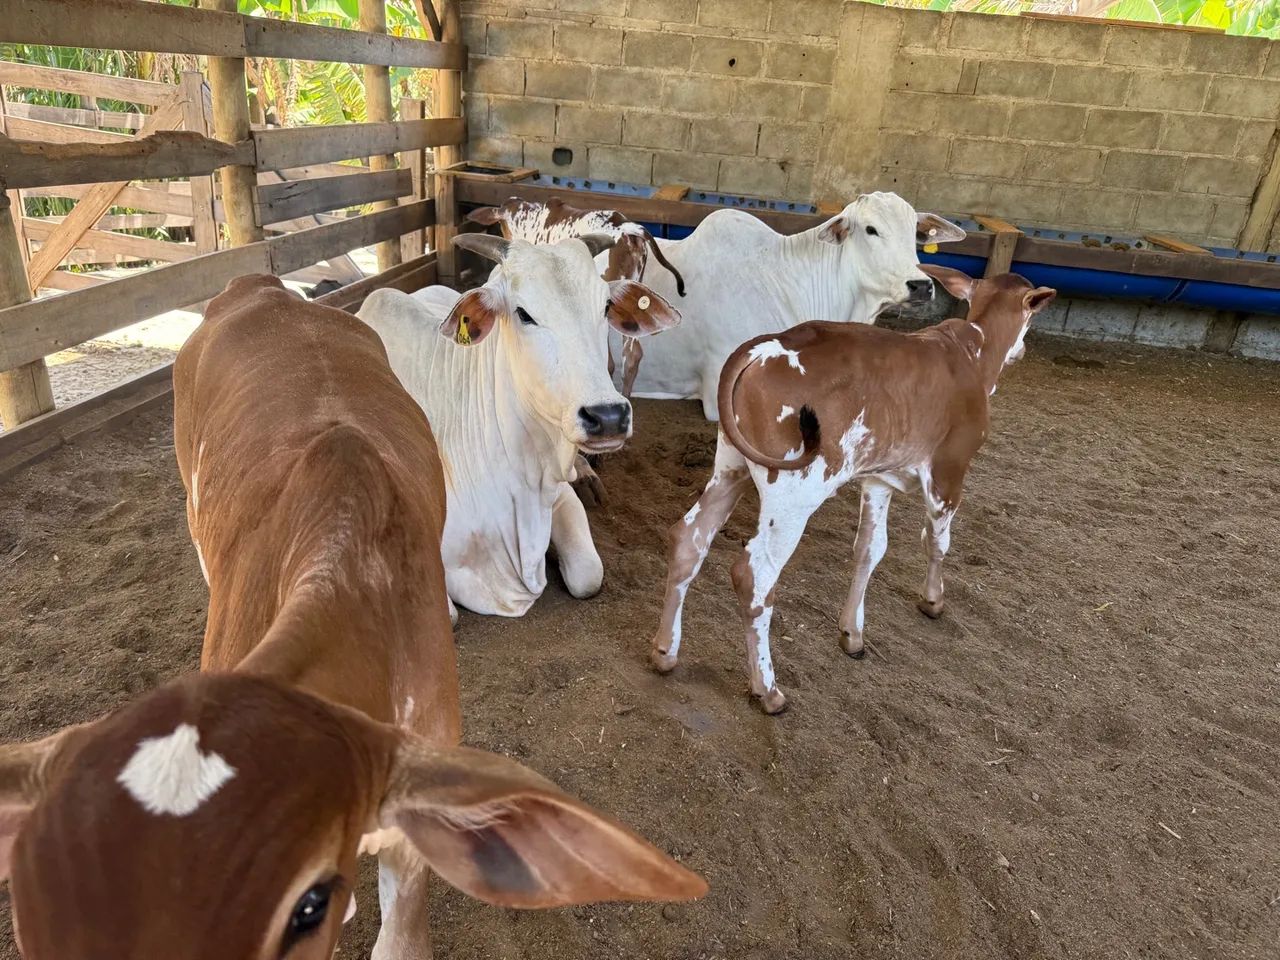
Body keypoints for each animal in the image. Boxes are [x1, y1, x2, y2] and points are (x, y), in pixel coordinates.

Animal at [358, 233, 681, 618]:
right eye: (524, 314)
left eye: (605, 307)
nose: (608, 417)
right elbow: (448, 612)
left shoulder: (559, 495)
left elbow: (589, 575)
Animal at [649, 265, 1056, 714]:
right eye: (1031, 316)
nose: (1022, 351)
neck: (974, 351)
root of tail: (763, 346)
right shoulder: (949, 471)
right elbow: (936, 541)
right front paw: (933, 600)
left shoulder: (878, 479)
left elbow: (869, 549)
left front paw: (852, 634)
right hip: (793, 493)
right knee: (754, 575)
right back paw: (767, 689)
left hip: (731, 467)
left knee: (688, 539)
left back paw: (665, 652)